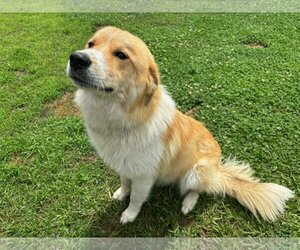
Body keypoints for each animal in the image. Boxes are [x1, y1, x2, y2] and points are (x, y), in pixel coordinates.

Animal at [67, 26, 294, 224]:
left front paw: (129, 215)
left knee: (199, 190)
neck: (127, 116)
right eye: (91, 44)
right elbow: (124, 182)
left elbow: (136, 199)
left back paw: (188, 204)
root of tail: (219, 170)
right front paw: (121, 194)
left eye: (121, 55)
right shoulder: (125, 165)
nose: (77, 58)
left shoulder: (144, 176)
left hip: (195, 173)